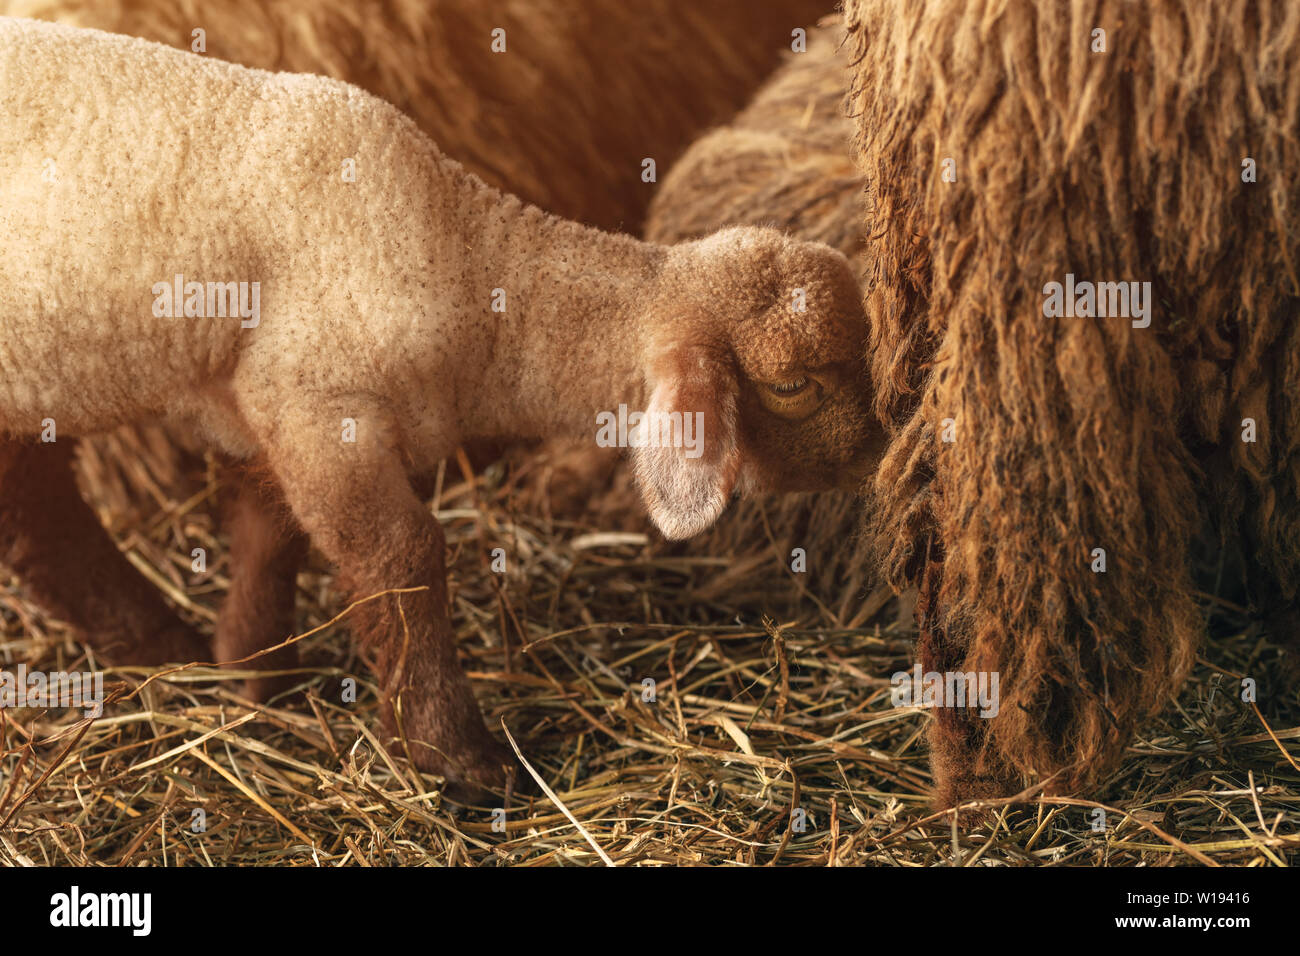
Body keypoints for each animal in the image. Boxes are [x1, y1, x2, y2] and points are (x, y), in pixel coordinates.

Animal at [0, 16, 878, 790]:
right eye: (793, 385)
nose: (879, 450)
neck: (469, 264)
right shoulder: (320, 403)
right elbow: (404, 561)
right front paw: (455, 757)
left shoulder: (256, 404)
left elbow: (266, 535)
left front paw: (253, 672)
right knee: (39, 517)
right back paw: (153, 642)